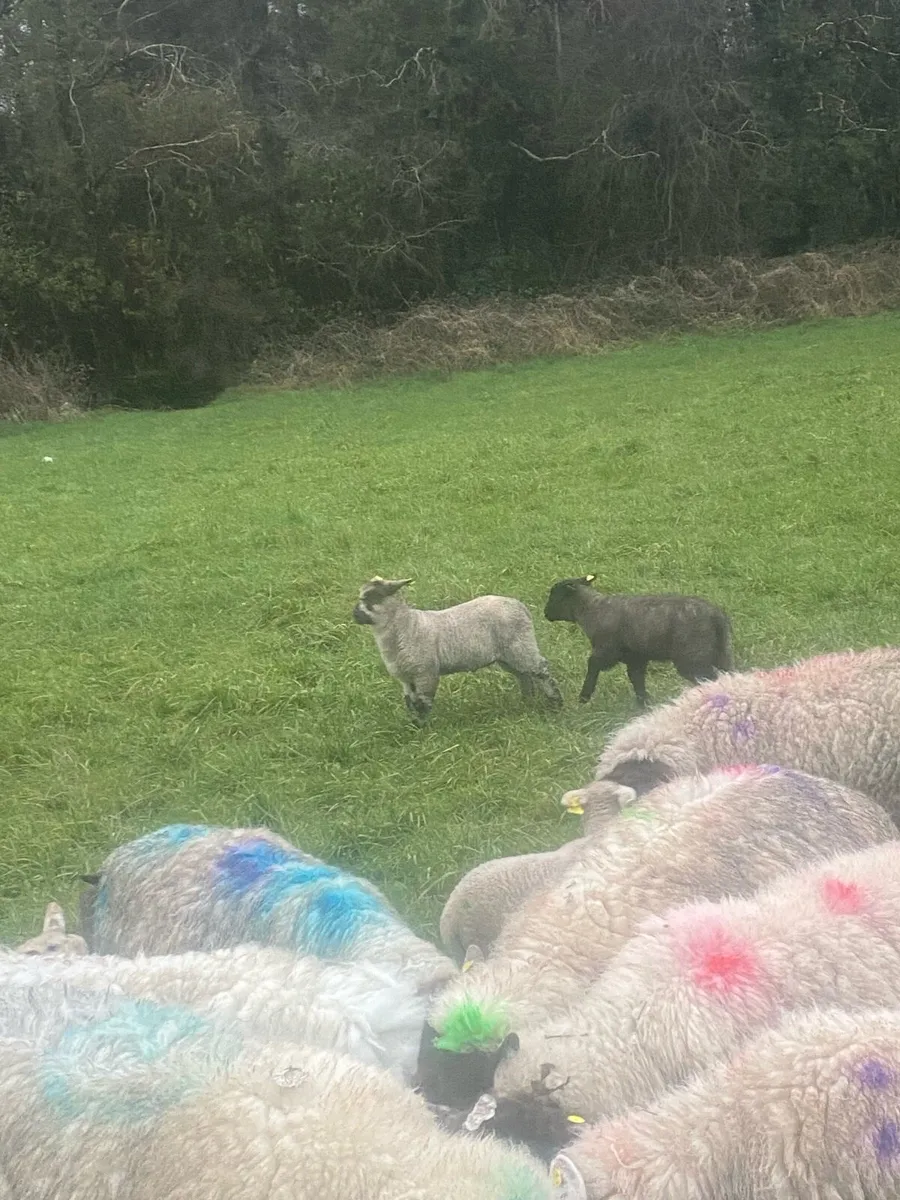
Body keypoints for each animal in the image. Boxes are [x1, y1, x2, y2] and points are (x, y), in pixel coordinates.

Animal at [352, 576, 562, 723]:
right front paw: (413, 726)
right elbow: (410, 702)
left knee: (541, 670)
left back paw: (556, 702)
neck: (406, 626)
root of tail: (519, 605)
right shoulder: (406, 678)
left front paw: (423, 729)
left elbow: (423, 703)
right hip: (508, 654)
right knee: (524, 676)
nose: (354, 614)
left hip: (522, 645)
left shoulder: (425, 672)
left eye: (370, 597)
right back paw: (526, 702)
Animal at [543, 576, 733, 707]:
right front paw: (645, 704)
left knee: (710, 678)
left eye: (554, 595)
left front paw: (584, 697)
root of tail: (715, 615)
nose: (545, 613)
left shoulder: (605, 651)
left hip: (693, 657)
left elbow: (593, 666)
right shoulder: (636, 657)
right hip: (721, 652)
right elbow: (637, 679)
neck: (591, 609)